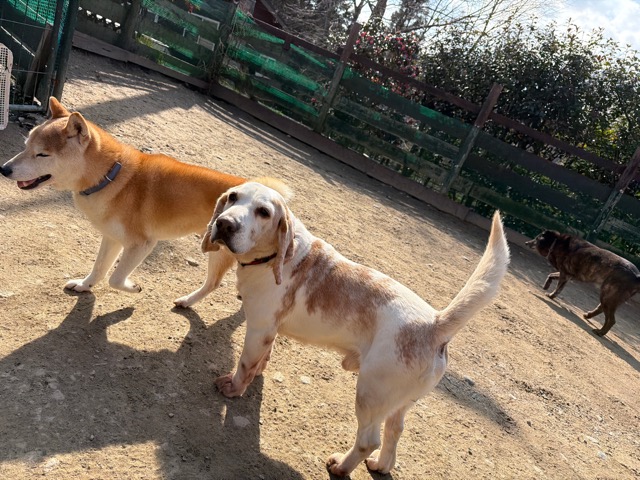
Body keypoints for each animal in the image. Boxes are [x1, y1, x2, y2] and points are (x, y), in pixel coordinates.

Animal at [0, 96, 245, 307]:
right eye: (26, 145)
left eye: (42, 154)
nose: (4, 169)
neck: (111, 176)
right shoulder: (112, 238)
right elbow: (99, 269)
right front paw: (84, 285)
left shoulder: (142, 244)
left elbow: (115, 279)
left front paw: (134, 287)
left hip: (219, 251)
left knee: (214, 283)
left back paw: (188, 301)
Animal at [201, 180, 510, 476]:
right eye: (233, 197)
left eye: (264, 212)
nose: (225, 224)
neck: (277, 255)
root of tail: (435, 323)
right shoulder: (270, 331)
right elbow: (261, 361)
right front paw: (257, 373)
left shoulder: (259, 328)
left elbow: (244, 365)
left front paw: (233, 388)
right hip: (398, 403)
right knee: (394, 431)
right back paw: (381, 465)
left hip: (369, 394)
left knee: (368, 440)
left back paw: (341, 466)